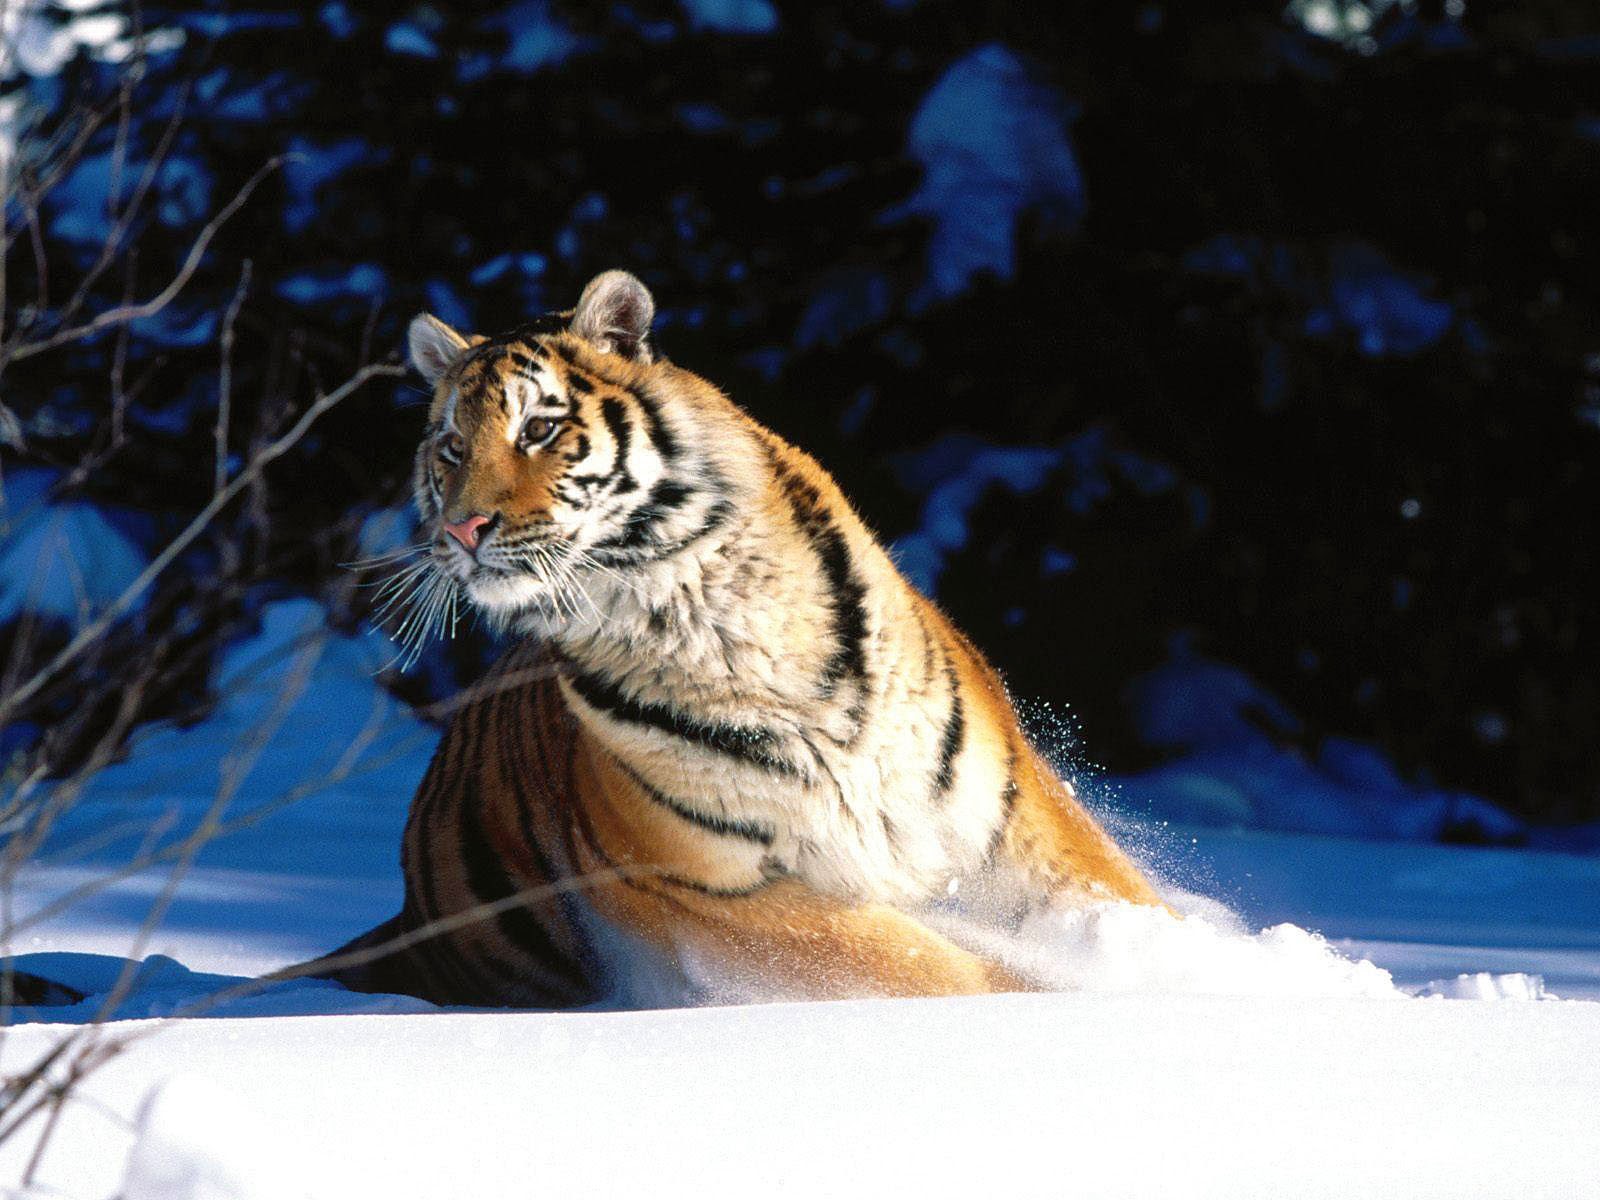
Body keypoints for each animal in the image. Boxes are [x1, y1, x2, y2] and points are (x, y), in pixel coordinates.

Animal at [323, 269, 1165, 1007]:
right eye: (450, 449)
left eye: (539, 428)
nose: (460, 530)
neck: (703, 607)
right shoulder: (705, 885)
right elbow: (926, 964)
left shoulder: (1003, 811)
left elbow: (1115, 899)